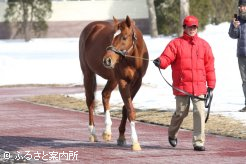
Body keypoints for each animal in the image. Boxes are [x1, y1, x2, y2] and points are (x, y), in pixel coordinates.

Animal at [79, 16, 148, 151]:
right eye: (113, 37)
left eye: (124, 37)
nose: (107, 60)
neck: (132, 59)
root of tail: (91, 27)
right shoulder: (122, 81)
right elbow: (130, 110)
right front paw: (135, 142)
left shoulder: (137, 83)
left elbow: (126, 108)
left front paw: (121, 137)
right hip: (88, 74)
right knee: (90, 101)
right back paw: (92, 133)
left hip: (112, 79)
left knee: (105, 94)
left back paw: (107, 131)